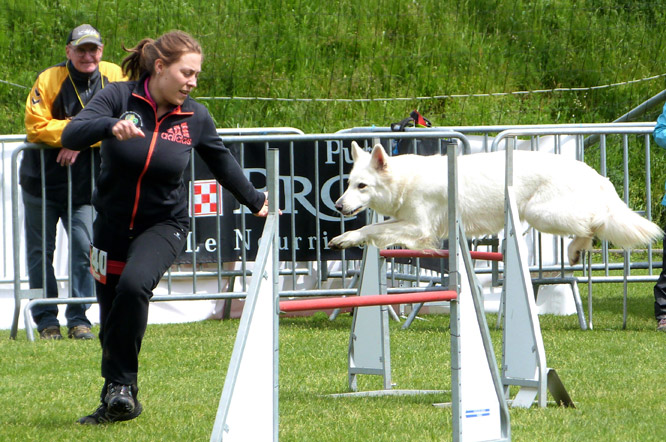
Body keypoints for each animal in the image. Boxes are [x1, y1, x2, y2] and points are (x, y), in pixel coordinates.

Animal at [330, 143, 660, 264]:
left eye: (362, 186)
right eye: (348, 184)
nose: (338, 206)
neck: (405, 181)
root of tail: (593, 173)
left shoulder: (418, 227)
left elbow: (373, 230)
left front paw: (346, 238)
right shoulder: (409, 223)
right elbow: (373, 229)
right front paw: (345, 237)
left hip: (541, 213)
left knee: (592, 222)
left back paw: (575, 249)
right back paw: (577, 251)